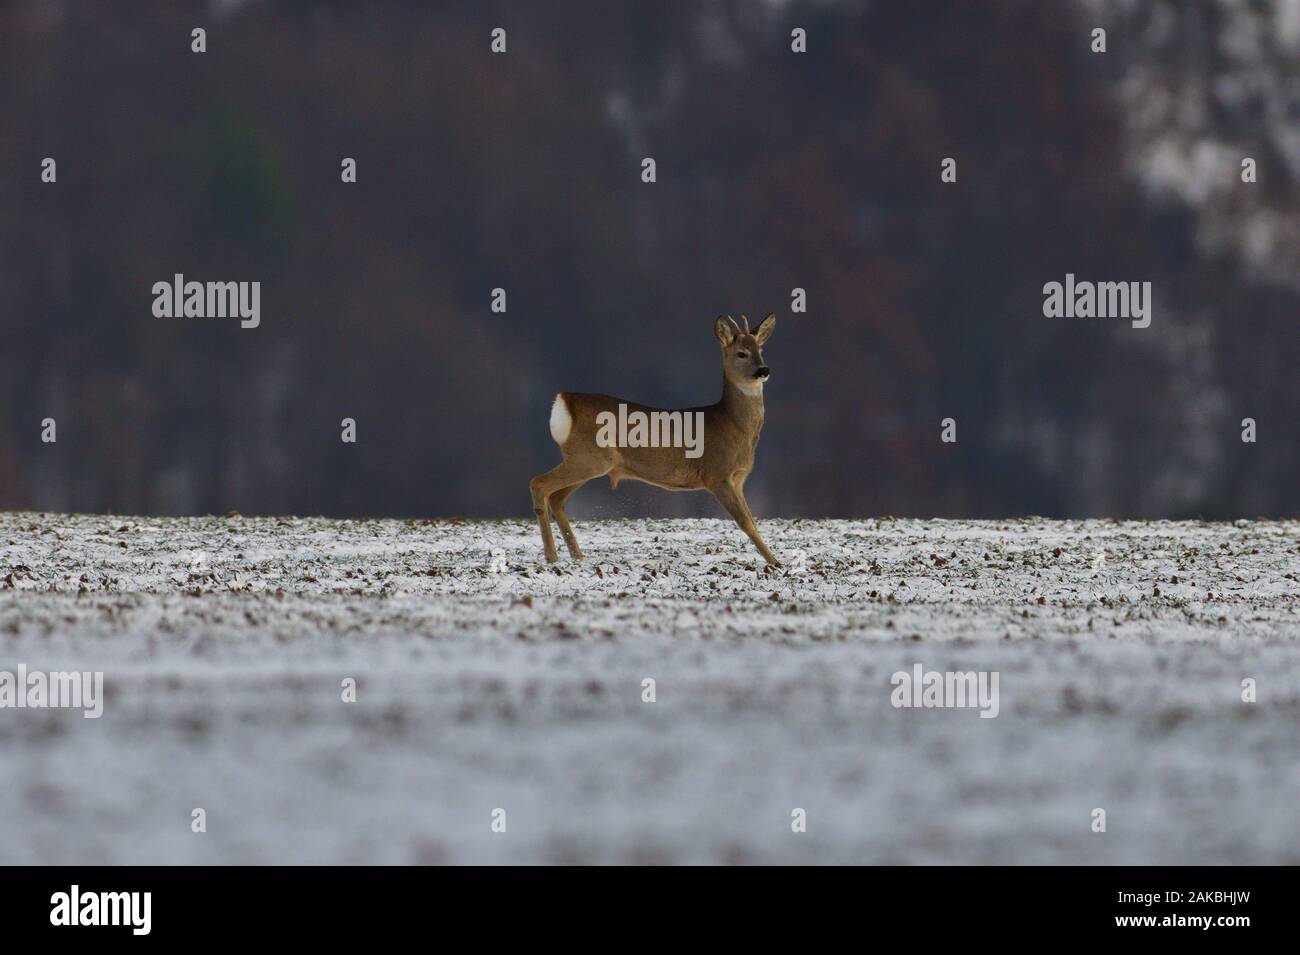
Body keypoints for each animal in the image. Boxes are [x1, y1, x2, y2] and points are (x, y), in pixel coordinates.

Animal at [530, 313, 780, 566]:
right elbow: (746, 523)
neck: (732, 426)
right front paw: (775, 562)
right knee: (538, 483)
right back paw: (552, 555)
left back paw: (577, 555)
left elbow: (752, 519)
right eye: (741, 353)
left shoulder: (738, 479)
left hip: (589, 461)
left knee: (557, 498)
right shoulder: (717, 474)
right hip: (588, 458)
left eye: (760, 349)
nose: (763, 370)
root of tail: (564, 401)